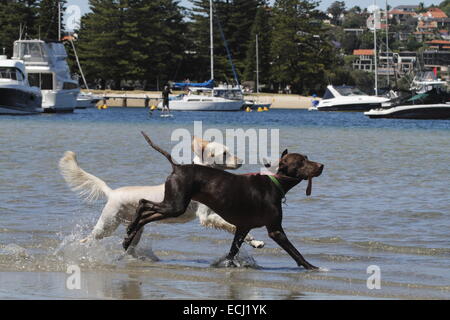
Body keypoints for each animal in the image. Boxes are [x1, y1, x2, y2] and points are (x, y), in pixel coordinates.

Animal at [59, 136, 264, 256]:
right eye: (225, 153)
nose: (241, 160)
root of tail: (112, 192)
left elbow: (238, 228)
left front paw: (255, 242)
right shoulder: (206, 216)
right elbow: (230, 225)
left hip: (136, 230)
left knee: (130, 241)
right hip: (107, 224)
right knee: (88, 238)